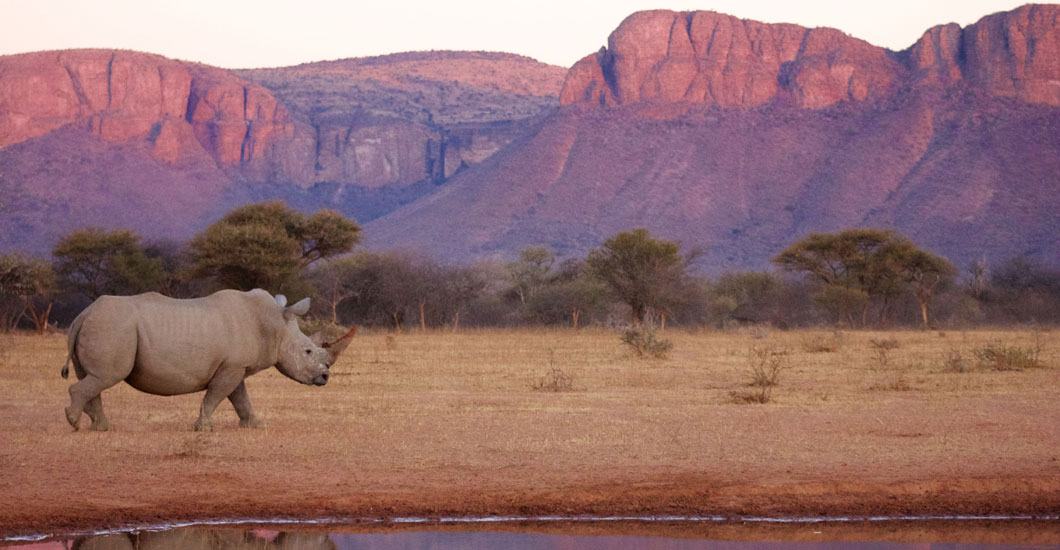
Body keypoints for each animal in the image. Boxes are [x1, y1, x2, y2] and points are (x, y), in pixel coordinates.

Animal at [64, 290, 358, 432]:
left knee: (94, 378)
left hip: (100, 325)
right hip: (112, 327)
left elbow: (240, 397)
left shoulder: (236, 365)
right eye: (308, 351)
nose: (325, 377)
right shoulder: (232, 366)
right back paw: (75, 424)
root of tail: (83, 314)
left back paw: (100, 428)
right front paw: (204, 429)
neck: (273, 324)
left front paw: (254, 425)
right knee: (105, 377)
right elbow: (216, 395)